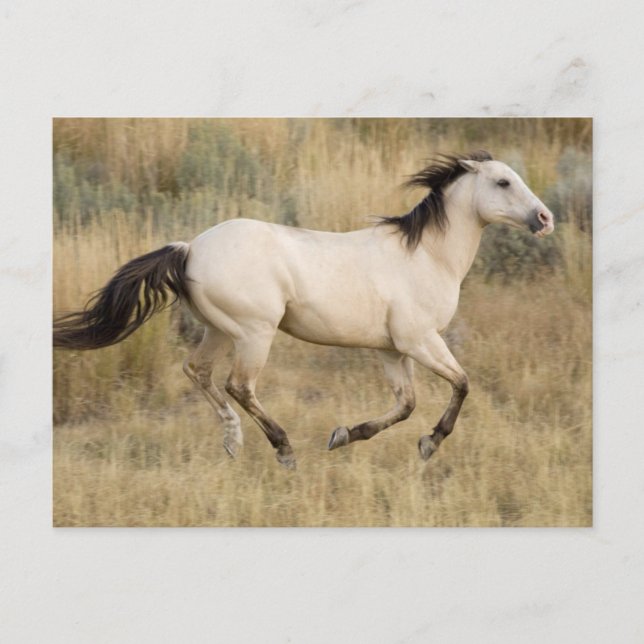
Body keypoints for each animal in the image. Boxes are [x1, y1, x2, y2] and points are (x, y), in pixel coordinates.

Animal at [53, 151, 555, 470]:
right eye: (503, 181)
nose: (545, 219)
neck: (428, 255)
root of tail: (190, 248)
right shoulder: (420, 340)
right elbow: (462, 384)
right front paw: (429, 444)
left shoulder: (393, 350)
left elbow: (406, 404)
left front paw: (344, 435)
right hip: (254, 332)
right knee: (239, 385)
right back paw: (284, 450)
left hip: (219, 330)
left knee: (198, 371)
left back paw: (233, 441)